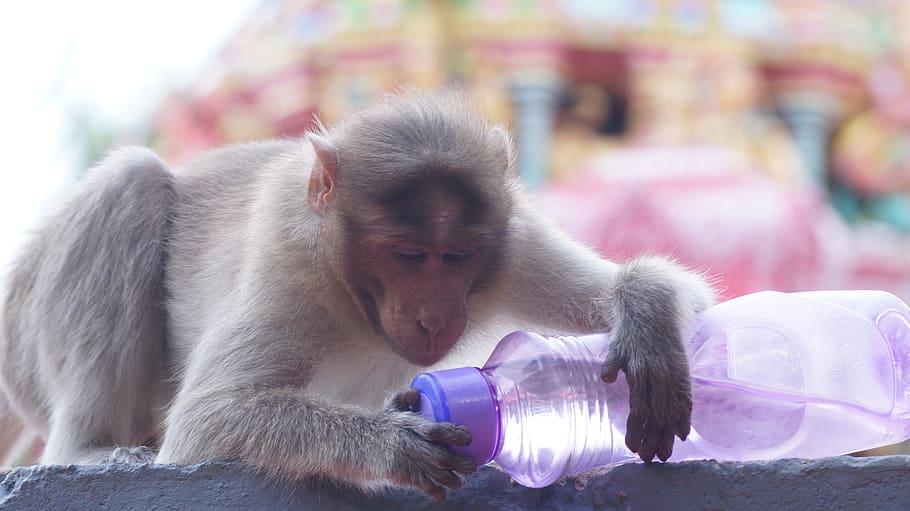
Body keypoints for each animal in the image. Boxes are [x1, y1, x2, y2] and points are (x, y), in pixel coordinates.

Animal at [0, 90, 716, 498]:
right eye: (407, 256)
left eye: (456, 256)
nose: (434, 315)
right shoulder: (292, 266)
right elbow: (208, 419)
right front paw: (393, 443)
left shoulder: (509, 244)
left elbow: (689, 304)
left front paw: (647, 320)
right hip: (24, 342)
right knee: (133, 182)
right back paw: (86, 450)